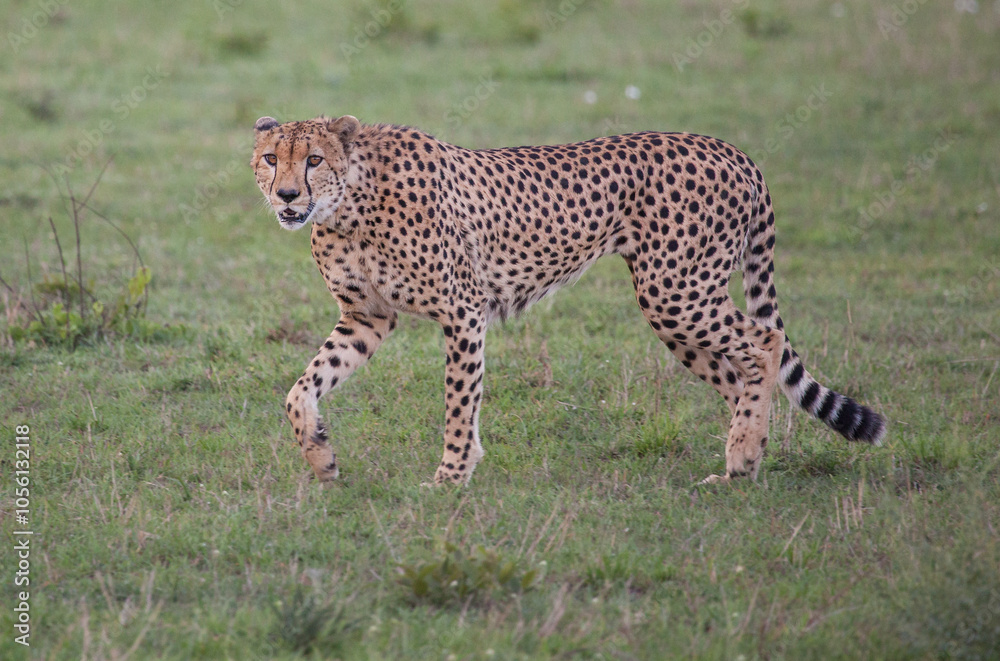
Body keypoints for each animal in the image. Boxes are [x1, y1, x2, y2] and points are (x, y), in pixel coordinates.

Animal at [250, 114, 886, 486]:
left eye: (313, 159)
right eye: (271, 158)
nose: (287, 195)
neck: (350, 203)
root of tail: (730, 149)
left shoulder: (463, 312)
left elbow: (459, 402)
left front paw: (451, 476)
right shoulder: (367, 317)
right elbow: (301, 388)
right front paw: (321, 455)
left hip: (676, 291)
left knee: (765, 342)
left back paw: (744, 453)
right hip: (676, 306)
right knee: (740, 376)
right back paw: (742, 461)